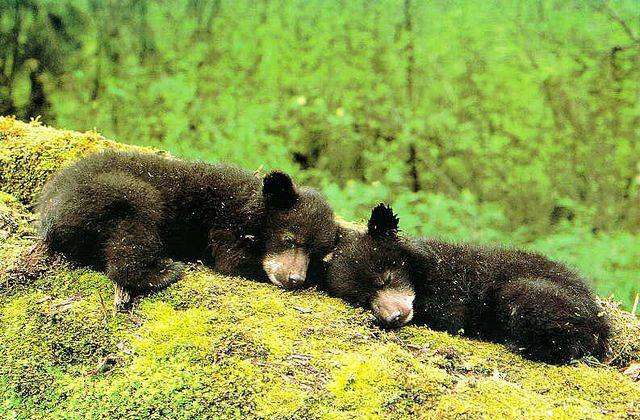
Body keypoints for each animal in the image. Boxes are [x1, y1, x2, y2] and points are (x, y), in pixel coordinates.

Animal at [38, 150, 338, 310]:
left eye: (316, 253)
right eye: (290, 239)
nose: (295, 278)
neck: (249, 206)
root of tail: (48, 209)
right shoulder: (225, 223)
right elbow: (233, 260)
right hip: (111, 191)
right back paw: (161, 272)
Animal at [322, 203, 611, 364]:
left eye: (387, 278)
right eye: (363, 299)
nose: (394, 317)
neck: (425, 275)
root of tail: (600, 320)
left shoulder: (452, 289)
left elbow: (450, 318)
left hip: (528, 292)